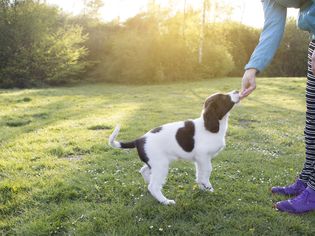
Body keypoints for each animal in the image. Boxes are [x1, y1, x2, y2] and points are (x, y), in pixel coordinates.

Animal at [108, 91, 239, 206]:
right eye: (223, 98)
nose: (237, 91)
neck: (209, 125)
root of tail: (139, 140)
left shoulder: (200, 160)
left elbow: (200, 174)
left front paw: (204, 188)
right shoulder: (203, 157)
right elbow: (206, 172)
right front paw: (207, 186)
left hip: (154, 163)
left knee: (144, 171)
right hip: (161, 165)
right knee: (153, 186)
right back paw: (166, 201)